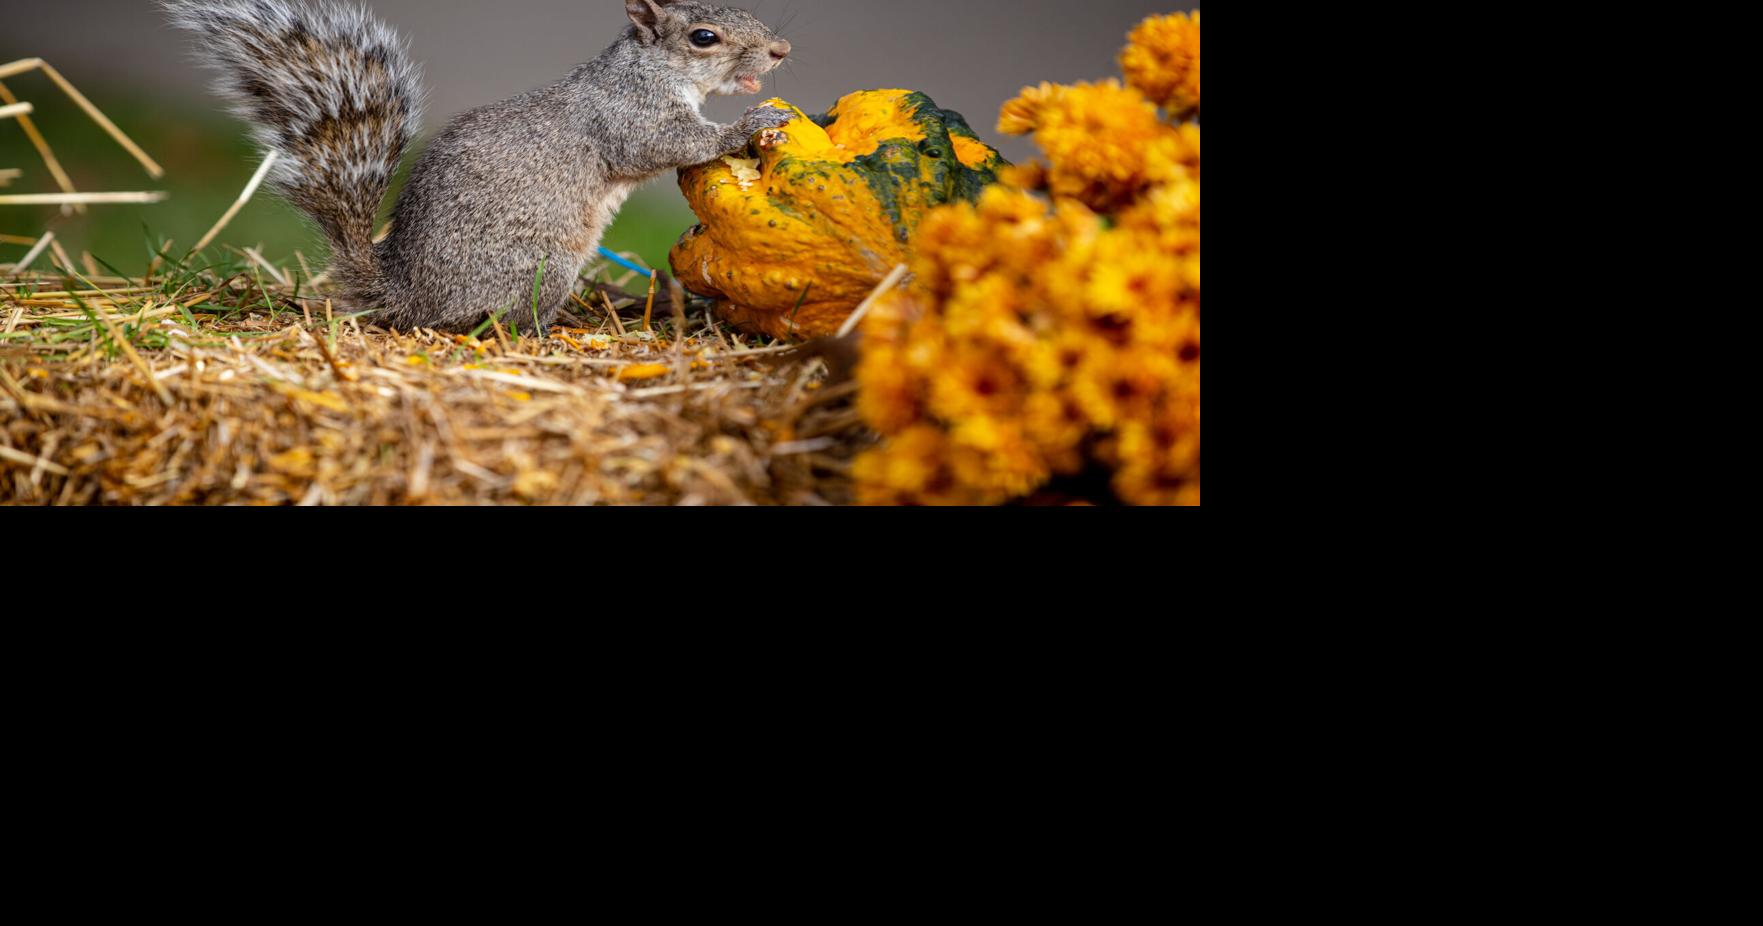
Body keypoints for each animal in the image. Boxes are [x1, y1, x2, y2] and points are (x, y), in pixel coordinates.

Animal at [163, 0, 795, 334]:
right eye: (704, 37)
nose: (782, 51)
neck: (650, 69)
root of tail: (408, 295)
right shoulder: (629, 116)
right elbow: (666, 145)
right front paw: (749, 121)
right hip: (540, 264)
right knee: (499, 320)